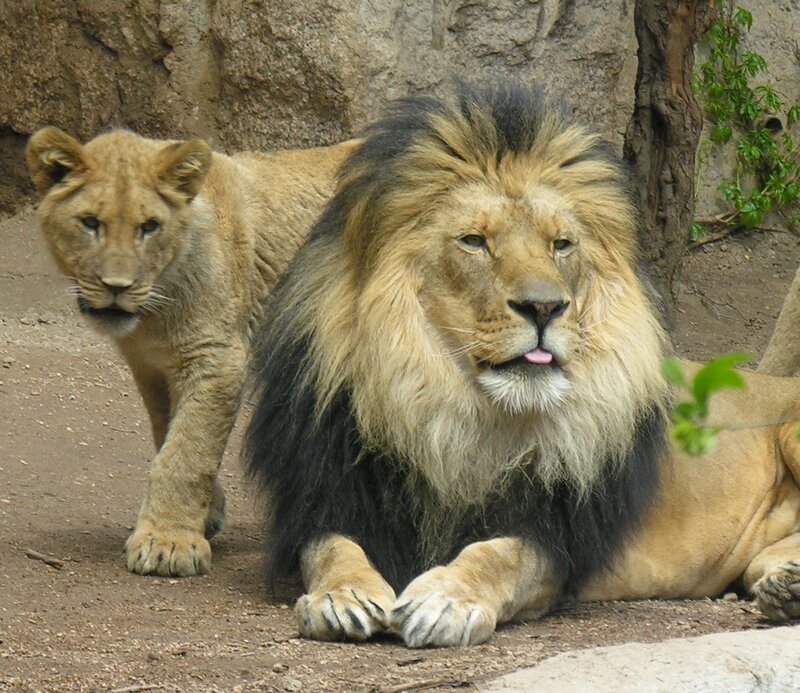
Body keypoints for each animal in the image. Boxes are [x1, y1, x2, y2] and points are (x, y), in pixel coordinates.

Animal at [26, 126, 356, 577]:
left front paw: (168, 541)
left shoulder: (217, 358)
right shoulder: (151, 366)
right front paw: (206, 512)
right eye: (90, 223)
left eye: (149, 227)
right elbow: (169, 433)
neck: (155, 310)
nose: (117, 287)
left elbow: (187, 452)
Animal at [243, 83, 800, 648]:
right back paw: (786, 587)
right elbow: (330, 547)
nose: (544, 307)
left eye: (561, 245)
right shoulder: (324, 496)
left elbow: (497, 555)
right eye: (474, 241)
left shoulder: (555, 539)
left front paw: (446, 599)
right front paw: (343, 596)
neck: (444, 412)